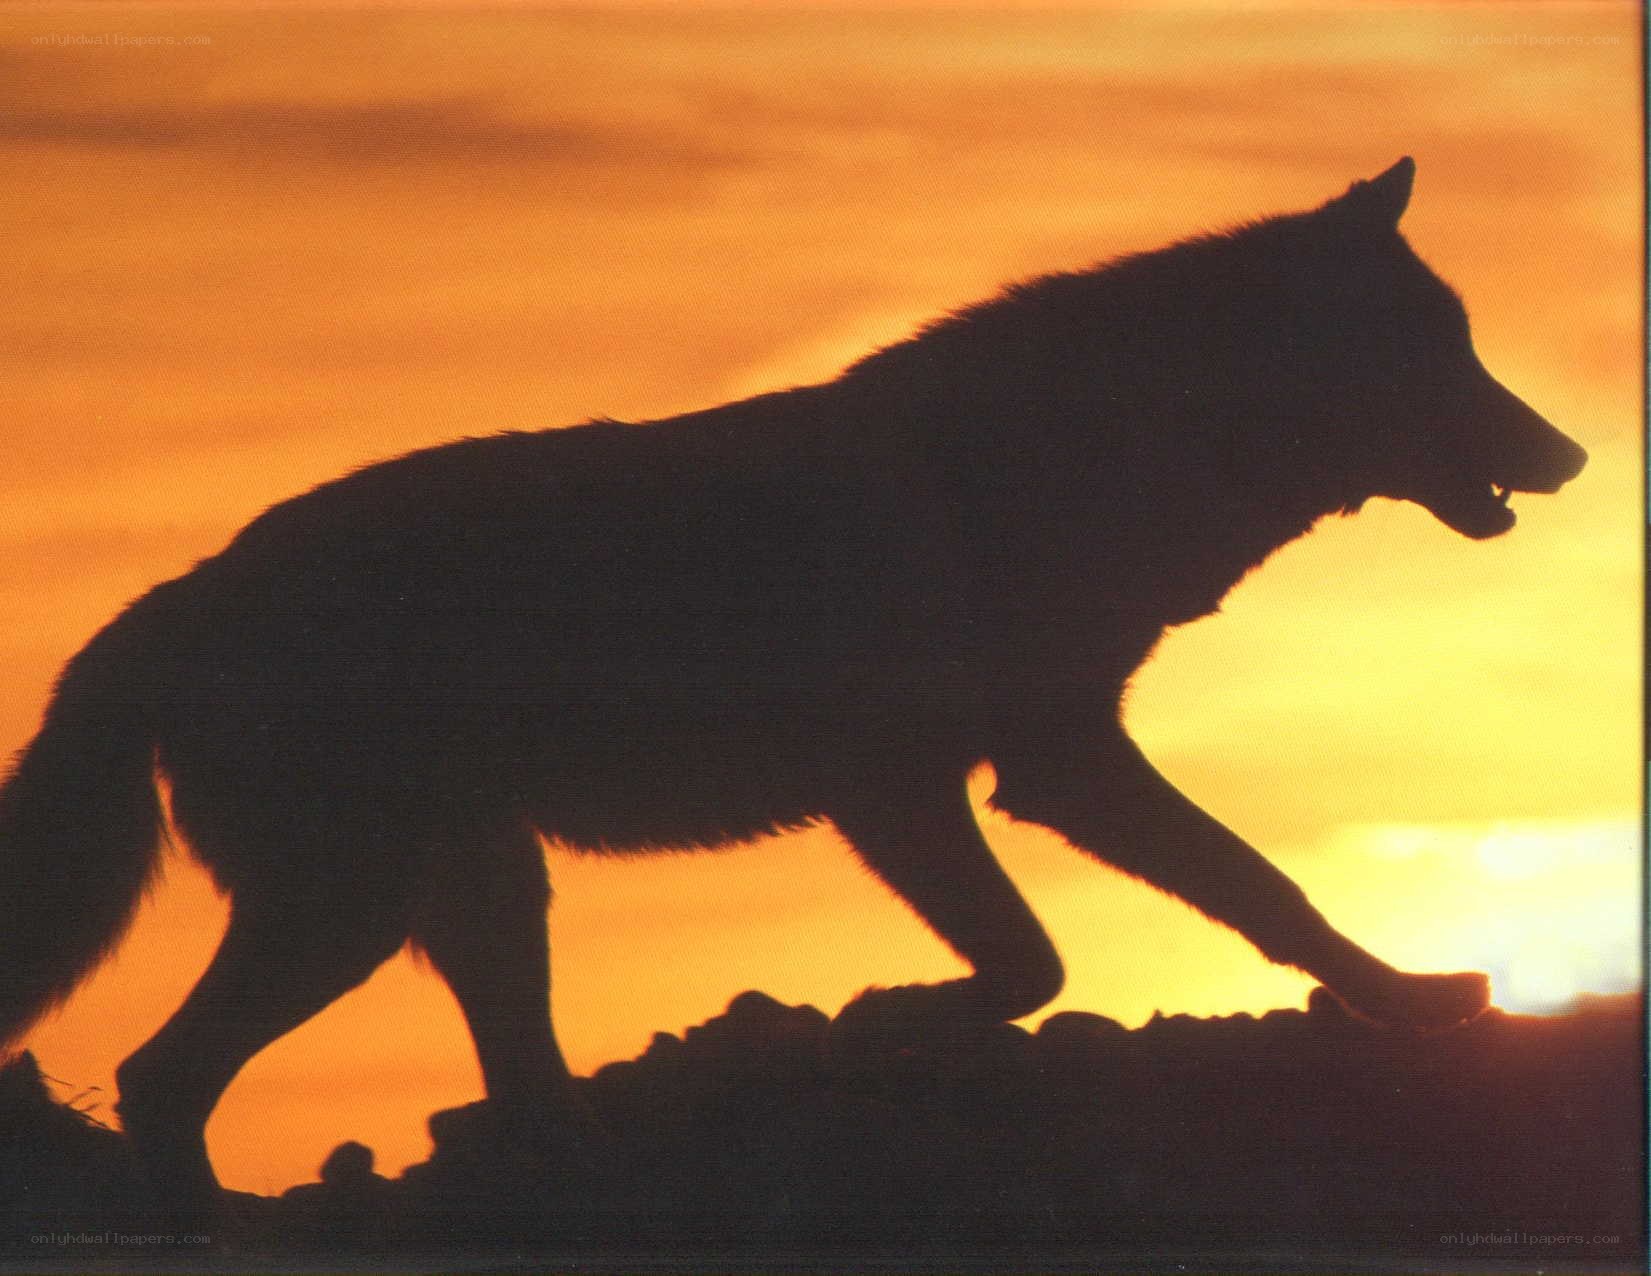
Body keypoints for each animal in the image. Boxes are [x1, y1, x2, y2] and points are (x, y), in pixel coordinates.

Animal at [0, 159, 1586, 1198]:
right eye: (1446, 352)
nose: (1570, 452)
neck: (1097, 455)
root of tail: (174, 597)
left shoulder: (1019, 772)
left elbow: (1258, 896)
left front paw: (1411, 1003)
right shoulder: (956, 784)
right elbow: (1059, 952)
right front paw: (888, 1017)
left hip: (477, 898)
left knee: (513, 1102)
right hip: (353, 909)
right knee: (157, 1081)